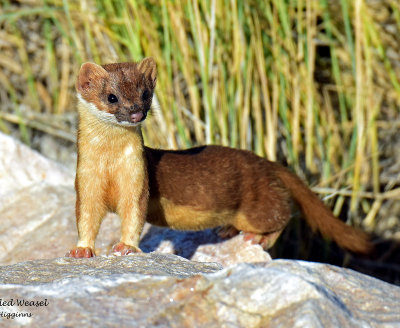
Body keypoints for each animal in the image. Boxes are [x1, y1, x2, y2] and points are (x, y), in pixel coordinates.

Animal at [68, 57, 372, 258]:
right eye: (112, 97)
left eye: (145, 94)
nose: (135, 113)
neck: (109, 165)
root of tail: (266, 162)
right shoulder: (85, 180)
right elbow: (86, 217)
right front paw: (81, 250)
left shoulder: (137, 179)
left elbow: (133, 215)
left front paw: (126, 247)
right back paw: (227, 230)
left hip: (255, 204)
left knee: (282, 214)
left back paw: (258, 239)